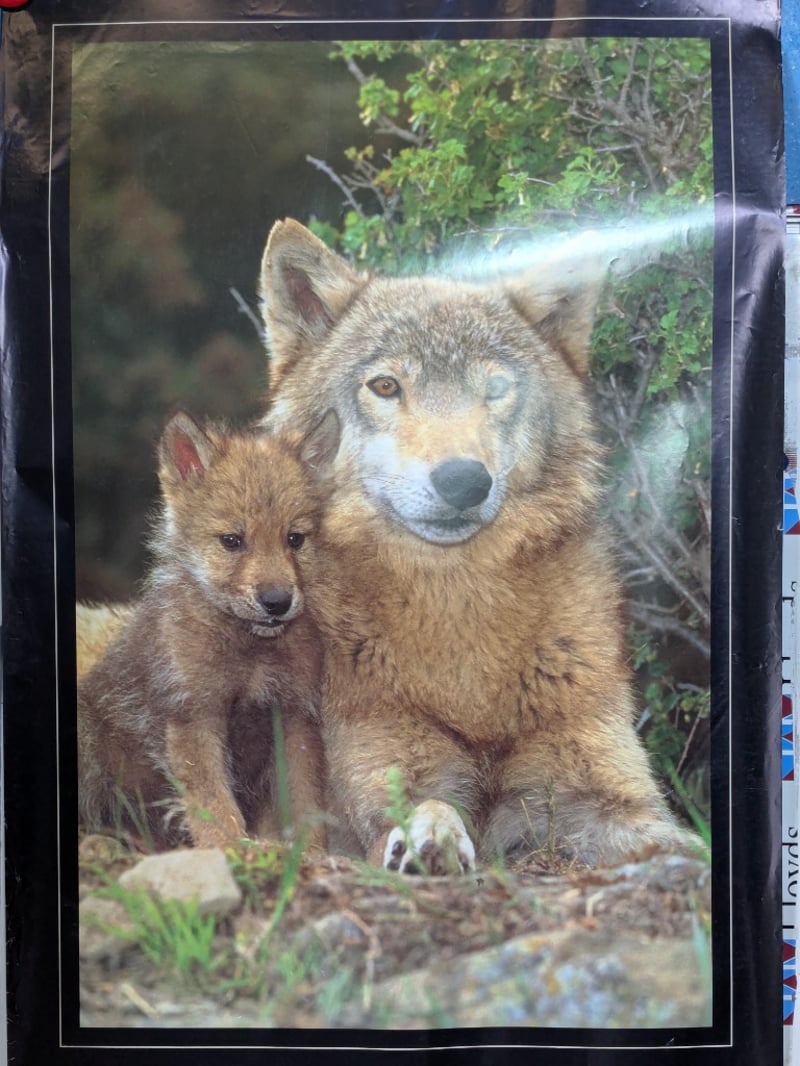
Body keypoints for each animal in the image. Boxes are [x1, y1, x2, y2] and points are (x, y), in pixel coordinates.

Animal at [77, 410, 338, 851]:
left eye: (295, 539)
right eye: (232, 540)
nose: (277, 601)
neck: (250, 654)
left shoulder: (294, 717)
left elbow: (304, 806)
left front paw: (308, 855)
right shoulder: (193, 714)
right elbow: (213, 804)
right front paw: (230, 851)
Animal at [257, 218, 697, 874]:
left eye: (496, 388)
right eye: (386, 385)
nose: (464, 481)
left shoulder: (600, 795)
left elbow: (673, 837)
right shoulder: (380, 779)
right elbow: (428, 805)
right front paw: (430, 839)